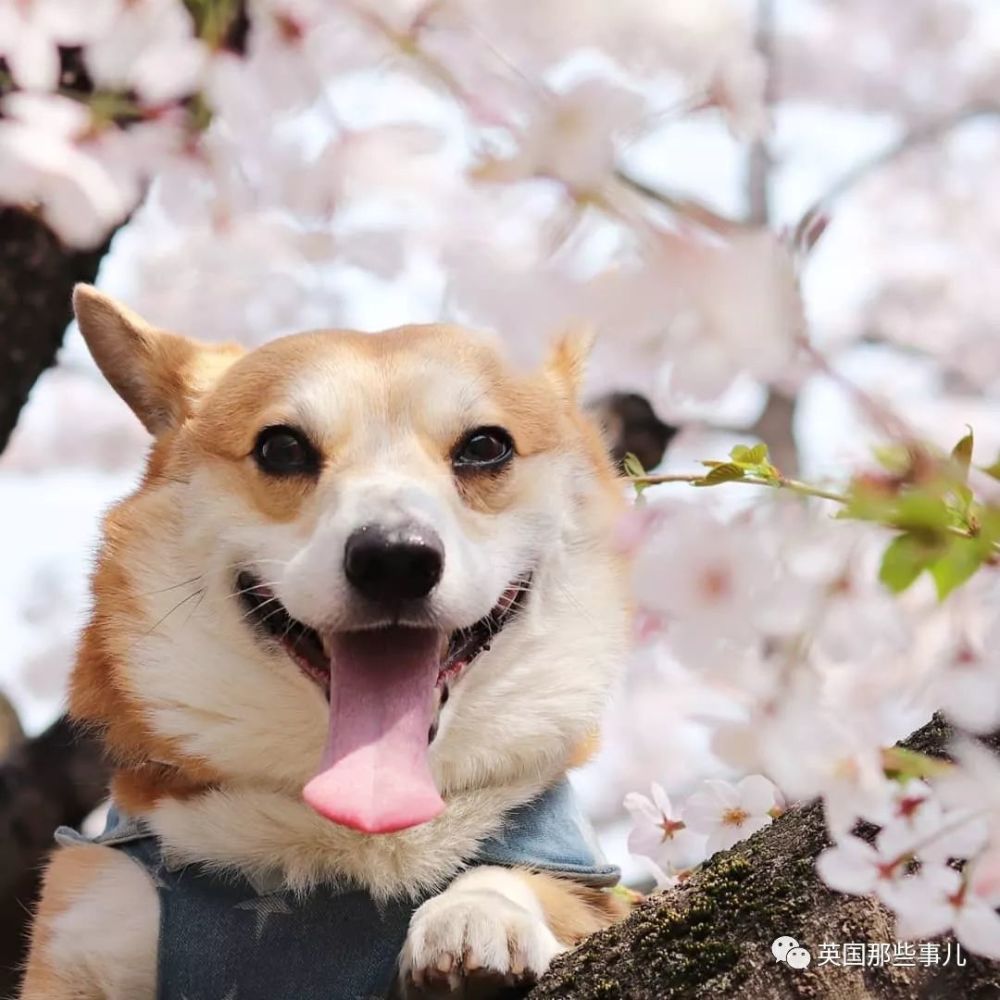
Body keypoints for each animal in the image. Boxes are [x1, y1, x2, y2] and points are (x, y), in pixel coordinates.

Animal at [19, 288, 632, 1000]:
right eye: (282, 449)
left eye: (485, 447)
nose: (394, 559)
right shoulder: (93, 916)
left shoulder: (582, 877)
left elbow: (529, 882)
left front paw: (478, 913)